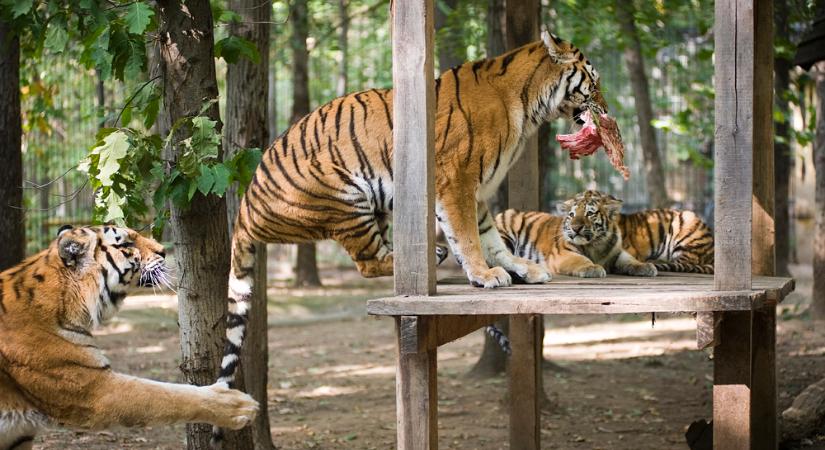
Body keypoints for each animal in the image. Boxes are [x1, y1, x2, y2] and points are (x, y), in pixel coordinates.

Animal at [0, 225, 258, 450]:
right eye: (126, 243)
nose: (163, 251)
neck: (67, 300)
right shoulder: (94, 389)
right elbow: (164, 395)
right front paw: (238, 405)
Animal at [212, 29, 612, 442]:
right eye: (593, 83)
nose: (606, 110)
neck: (528, 106)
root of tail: (245, 206)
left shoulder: (477, 193)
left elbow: (490, 238)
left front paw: (519, 268)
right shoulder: (457, 180)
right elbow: (468, 236)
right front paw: (484, 275)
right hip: (347, 197)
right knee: (368, 262)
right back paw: (430, 257)